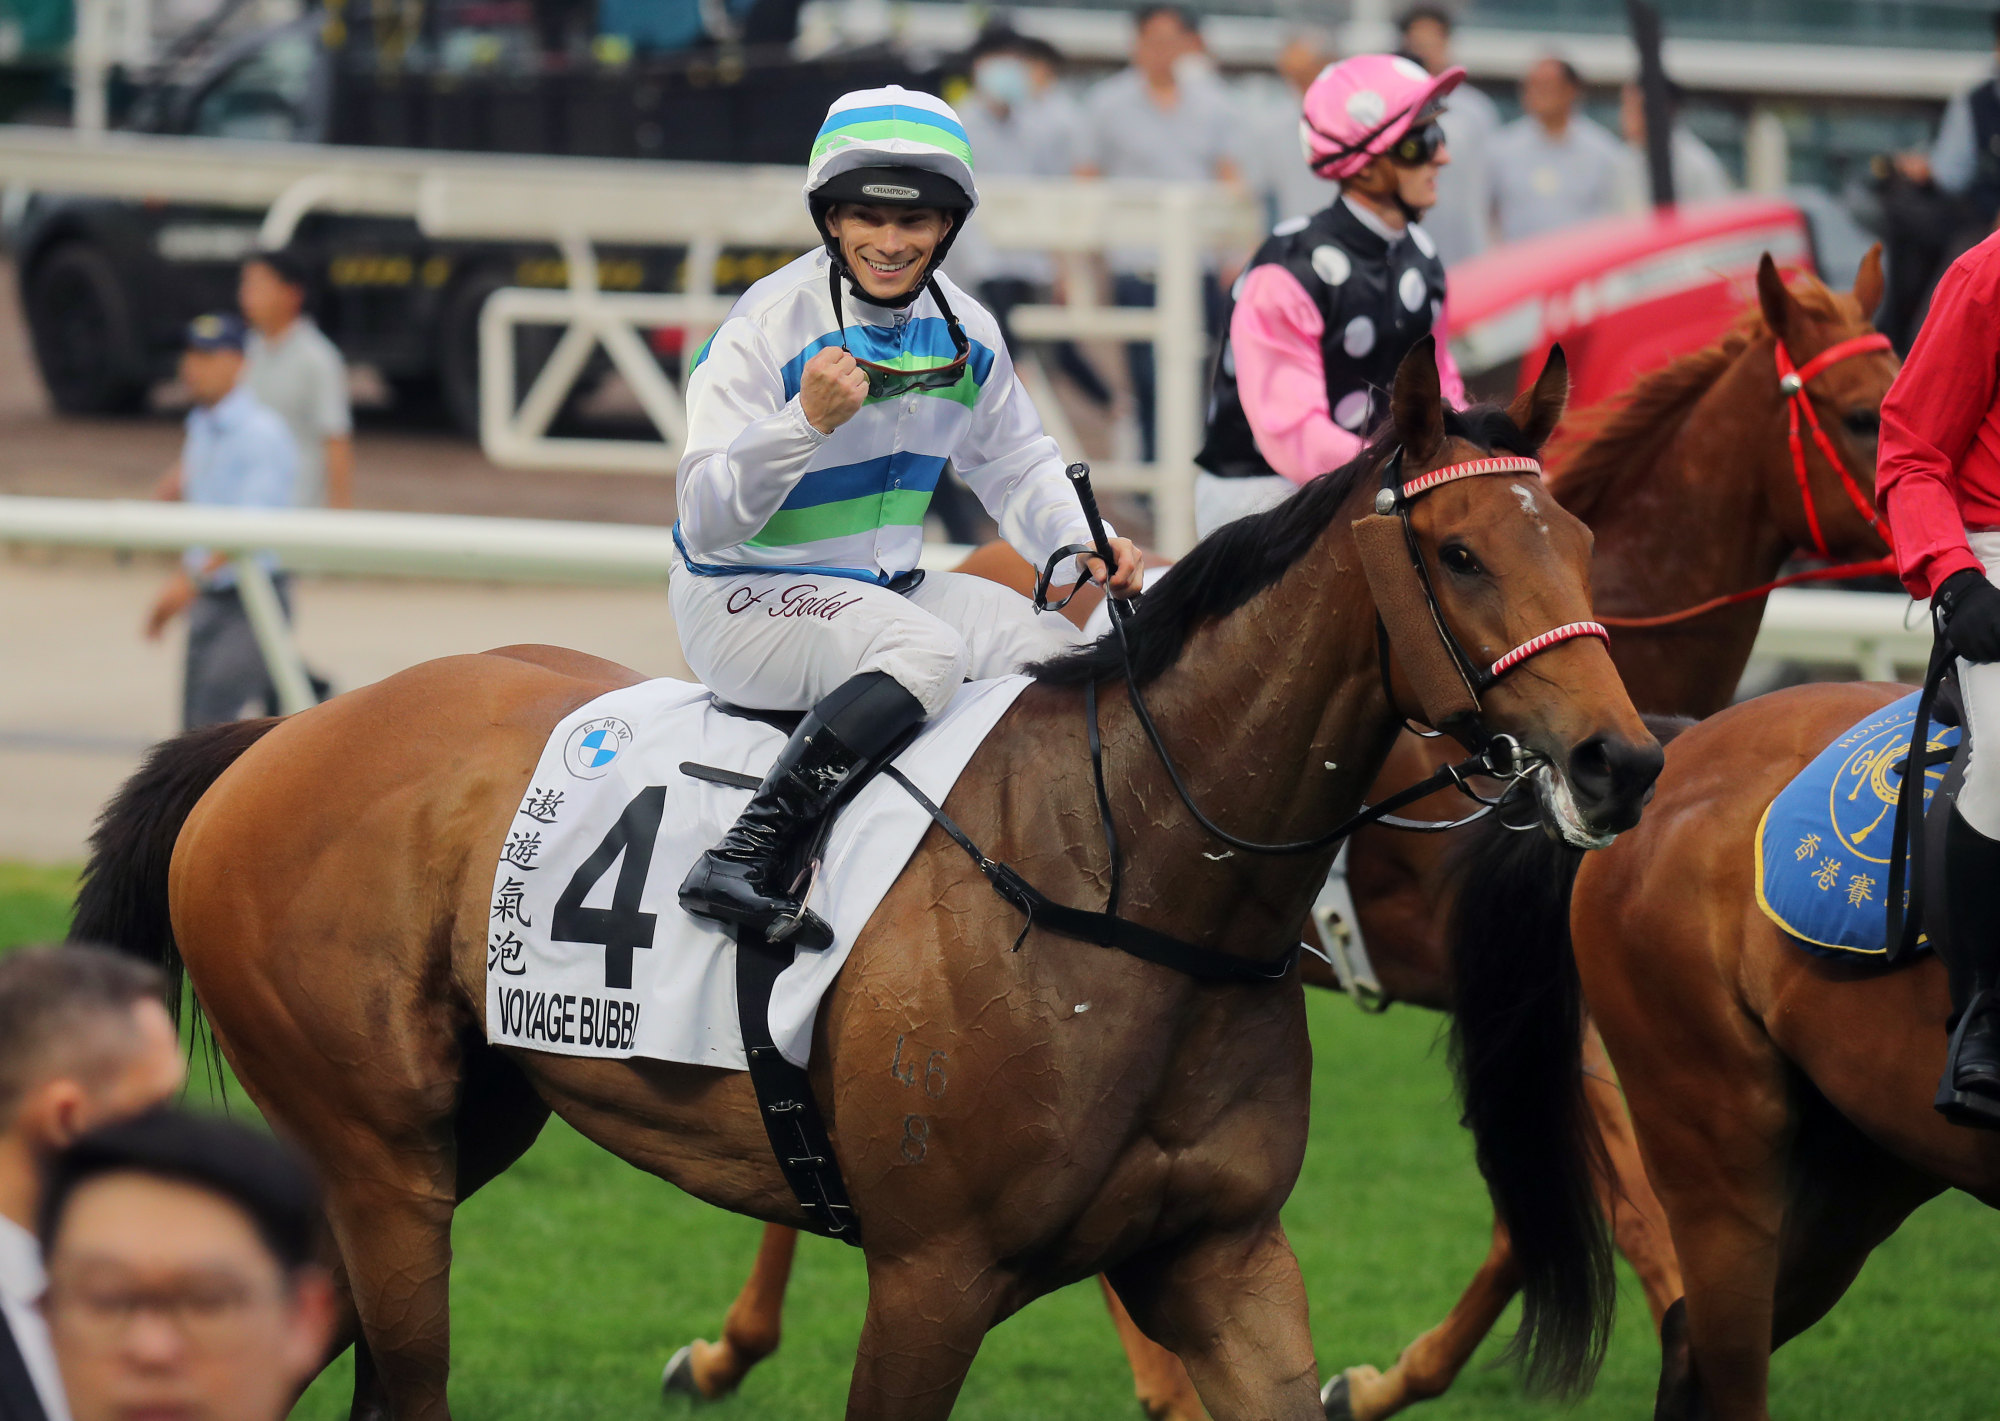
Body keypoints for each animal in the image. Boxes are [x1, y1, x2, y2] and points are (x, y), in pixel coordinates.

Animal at [70, 348, 1656, 1421]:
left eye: (1584, 539)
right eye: (1460, 551)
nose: (1621, 759)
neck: (1130, 875)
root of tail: (272, 739)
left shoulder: (1225, 1257)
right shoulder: (932, 1273)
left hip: (445, 1138)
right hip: (381, 1156)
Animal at [668, 253, 1888, 1421]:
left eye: (1578, 544)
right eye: (1862, 414)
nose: (1619, 762)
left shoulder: (1536, 991)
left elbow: (1547, 1195)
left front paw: (1391, 1375)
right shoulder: (1500, 981)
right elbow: (1616, 1193)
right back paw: (738, 1339)